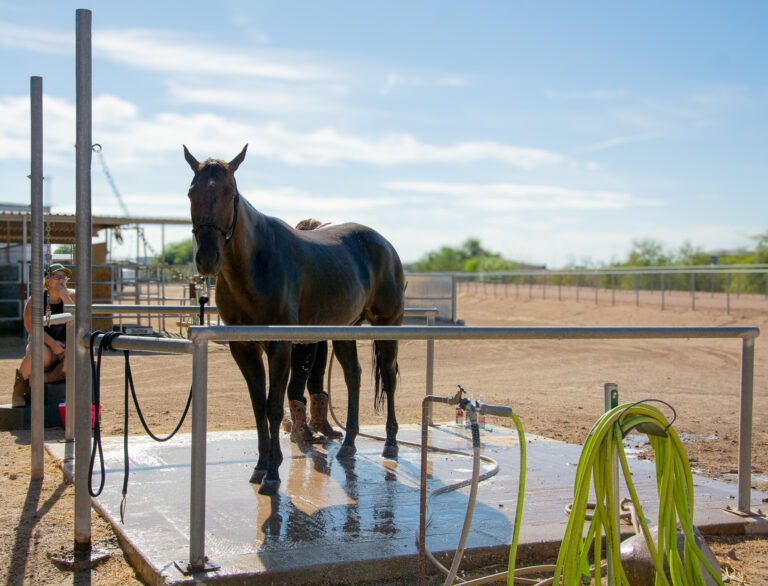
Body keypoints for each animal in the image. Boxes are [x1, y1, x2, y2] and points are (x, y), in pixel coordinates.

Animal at [184, 145, 408, 492]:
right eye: (191, 192)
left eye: (230, 192)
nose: (208, 258)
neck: (256, 263)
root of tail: (385, 244)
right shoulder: (242, 347)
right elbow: (258, 405)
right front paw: (261, 466)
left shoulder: (280, 345)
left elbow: (274, 406)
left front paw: (273, 472)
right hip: (345, 329)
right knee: (353, 376)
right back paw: (349, 444)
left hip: (388, 325)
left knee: (388, 375)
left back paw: (391, 443)